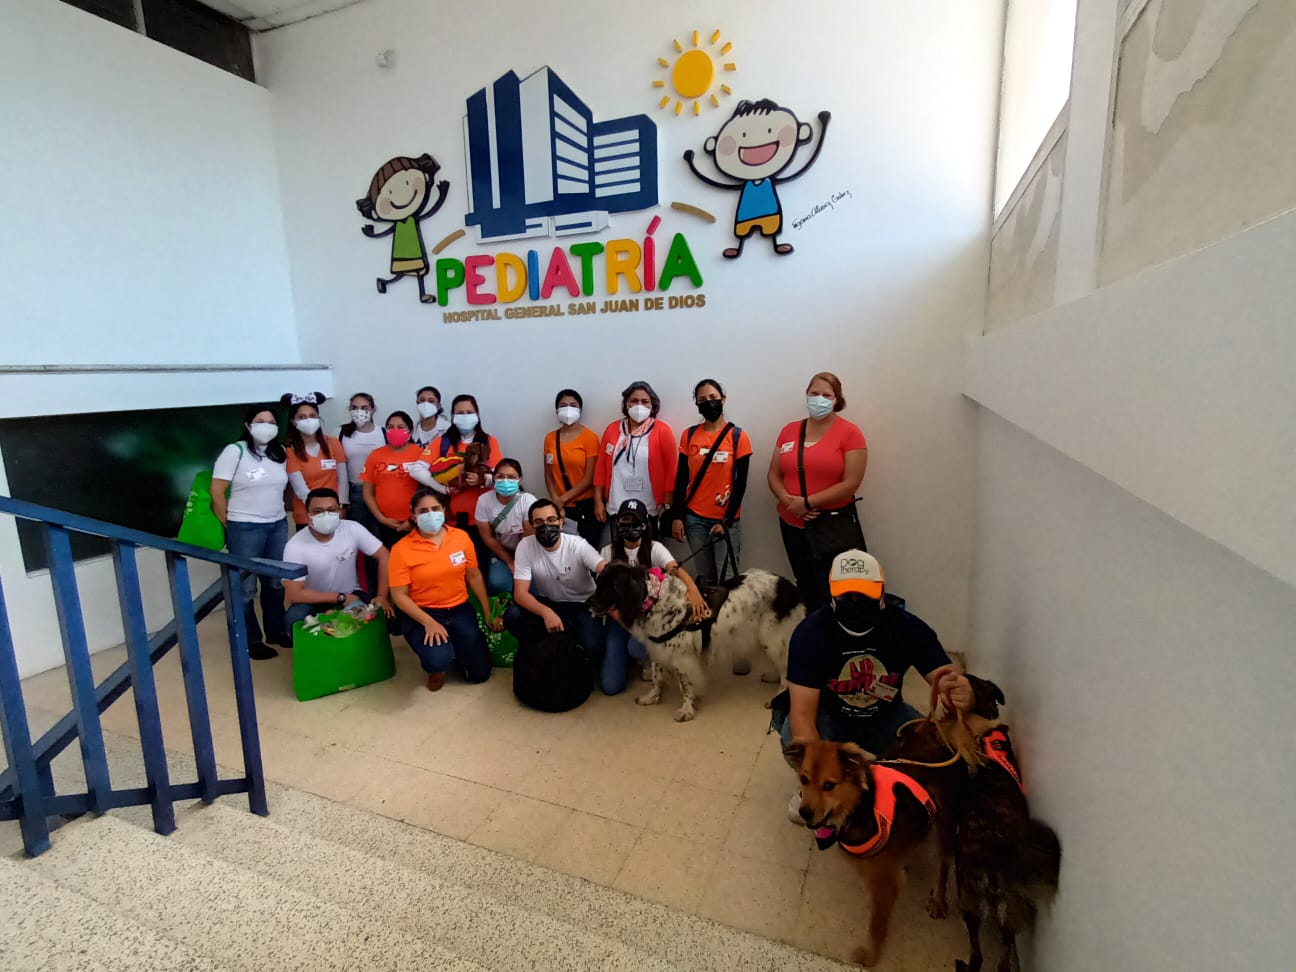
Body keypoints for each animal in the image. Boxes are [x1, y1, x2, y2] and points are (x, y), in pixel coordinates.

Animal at [588, 563, 801, 721]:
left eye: (607, 587)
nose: (586, 603)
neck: (655, 600)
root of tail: (788, 586)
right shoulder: (658, 649)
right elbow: (657, 677)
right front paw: (651, 697)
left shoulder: (682, 658)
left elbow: (685, 686)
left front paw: (687, 710)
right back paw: (772, 677)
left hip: (773, 637)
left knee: (785, 669)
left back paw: (777, 697)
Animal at [785, 739, 938, 967]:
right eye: (804, 779)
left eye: (829, 786)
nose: (805, 813)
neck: (862, 806)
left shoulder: (884, 882)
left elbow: (877, 924)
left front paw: (871, 956)